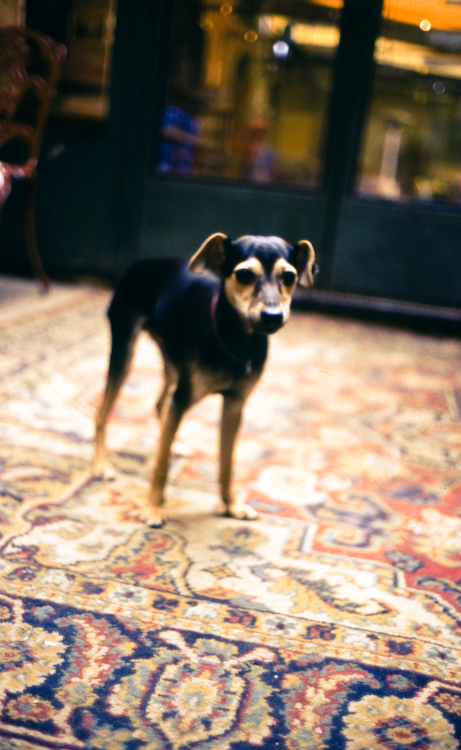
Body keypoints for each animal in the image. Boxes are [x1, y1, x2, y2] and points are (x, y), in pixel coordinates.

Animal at [92, 233, 318, 526]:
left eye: (289, 276)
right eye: (244, 274)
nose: (272, 316)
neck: (237, 340)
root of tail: (141, 263)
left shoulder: (234, 405)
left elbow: (227, 463)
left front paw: (231, 505)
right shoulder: (183, 397)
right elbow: (161, 465)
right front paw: (153, 508)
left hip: (172, 363)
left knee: (160, 405)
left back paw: (173, 444)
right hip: (124, 352)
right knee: (103, 413)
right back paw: (100, 464)